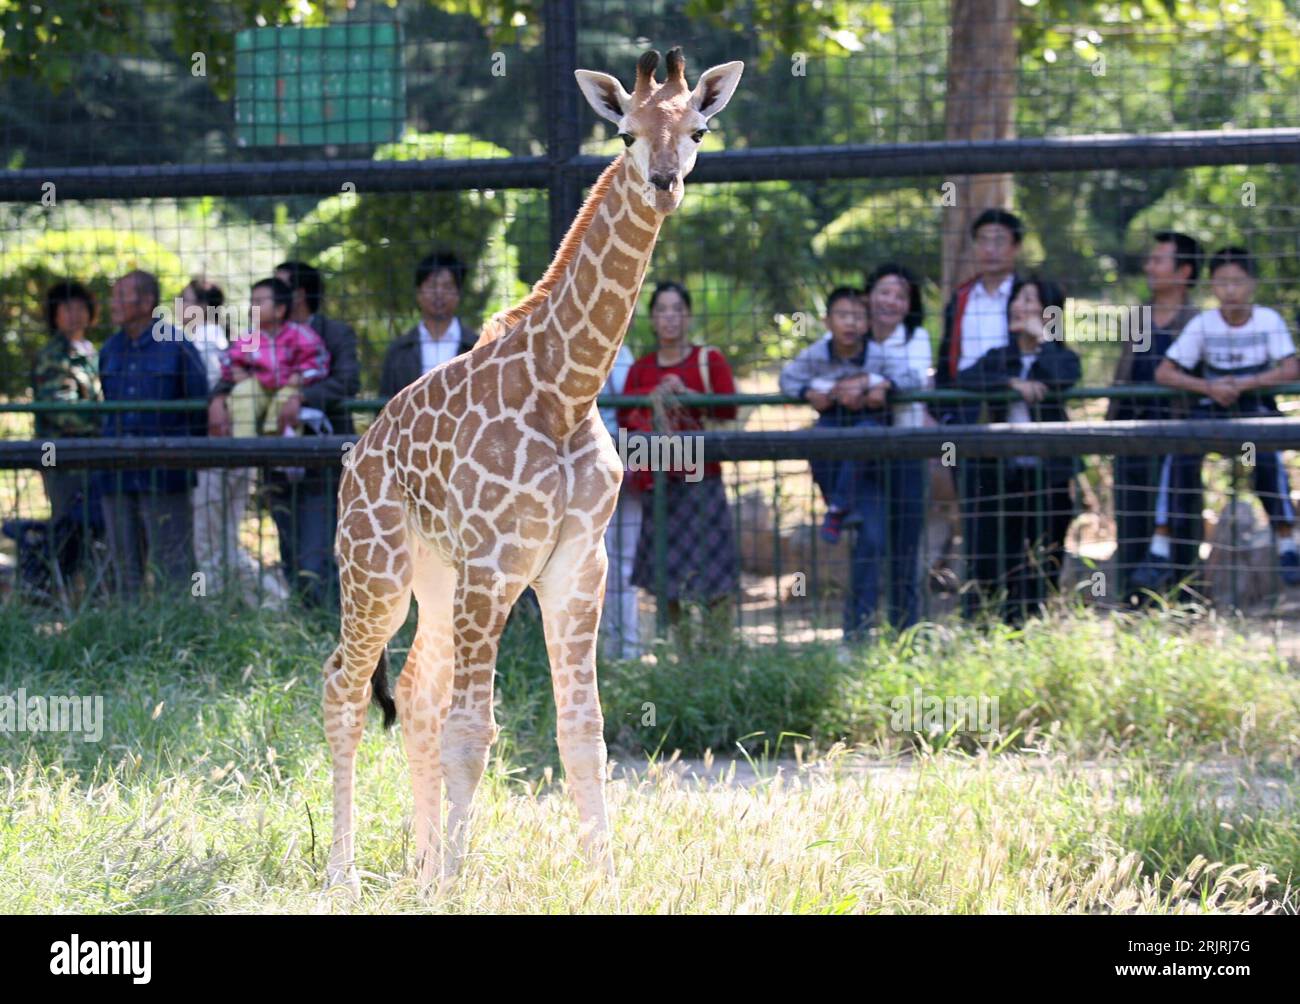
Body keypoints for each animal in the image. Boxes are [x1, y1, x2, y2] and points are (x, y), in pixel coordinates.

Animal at [322, 47, 743, 894]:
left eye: (698, 129)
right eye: (624, 133)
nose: (665, 183)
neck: (565, 387)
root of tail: (357, 458)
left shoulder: (579, 566)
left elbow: (584, 731)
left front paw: (603, 882)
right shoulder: (495, 563)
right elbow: (474, 730)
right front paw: (455, 887)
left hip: (435, 578)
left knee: (412, 692)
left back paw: (418, 864)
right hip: (376, 569)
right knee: (345, 688)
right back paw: (343, 875)